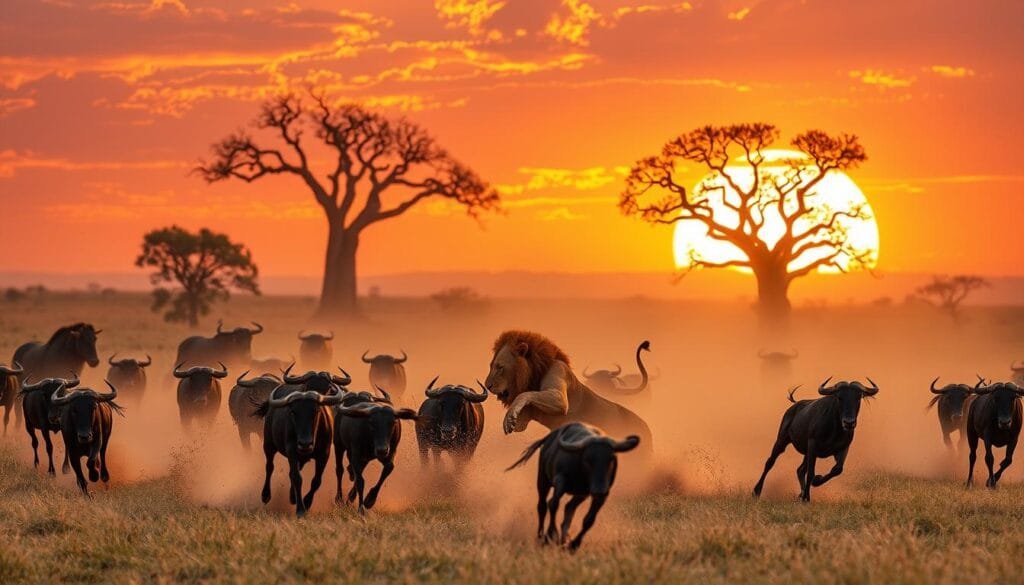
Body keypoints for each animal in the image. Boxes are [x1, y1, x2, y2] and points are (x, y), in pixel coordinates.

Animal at [484, 330, 653, 450]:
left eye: (500, 367)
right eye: (491, 366)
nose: (487, 386)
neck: (535, 372)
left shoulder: (558, 380)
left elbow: (526, 395)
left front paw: (509, 416)